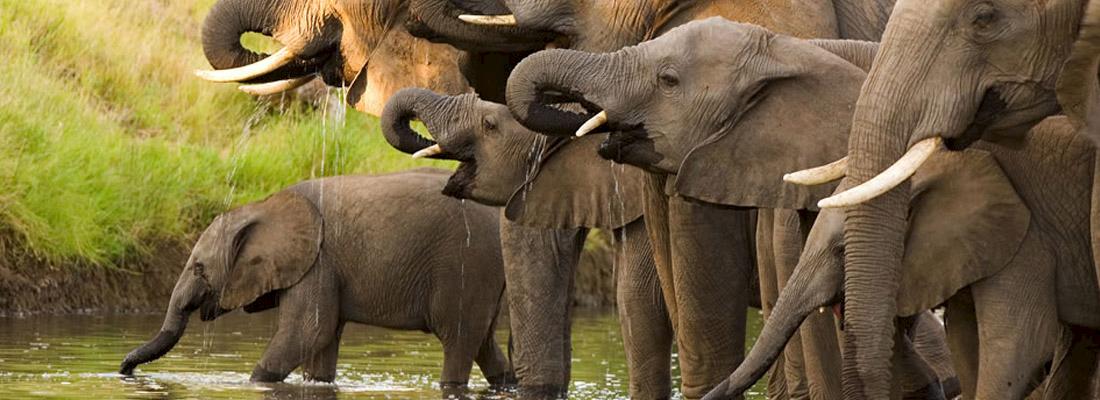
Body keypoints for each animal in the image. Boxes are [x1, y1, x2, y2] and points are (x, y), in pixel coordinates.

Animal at [117, 169, 514, 397]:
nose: (124, 371)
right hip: (486, 273)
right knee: (484, 343)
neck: (262, 206)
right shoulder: (324, 268)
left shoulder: (318, 262)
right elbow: (321, 342)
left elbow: (308, 332)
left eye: (199, 268)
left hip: (466, 264)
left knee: (458, 341)